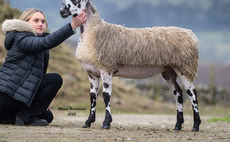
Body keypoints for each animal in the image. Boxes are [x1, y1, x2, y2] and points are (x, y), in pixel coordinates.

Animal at [59, 0, 201, 131]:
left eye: (77, 1)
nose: (61, 11)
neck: (92, 31)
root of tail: (191, 35)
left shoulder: (106, 69)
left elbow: (106, 96)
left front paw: (106, 122)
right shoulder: (92, 73)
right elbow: (93, 96)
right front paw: (88, 122)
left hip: (185, 67)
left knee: (192, 93)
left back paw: (196, 125)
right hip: (168, 71)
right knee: (178, 94)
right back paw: (178, 125)